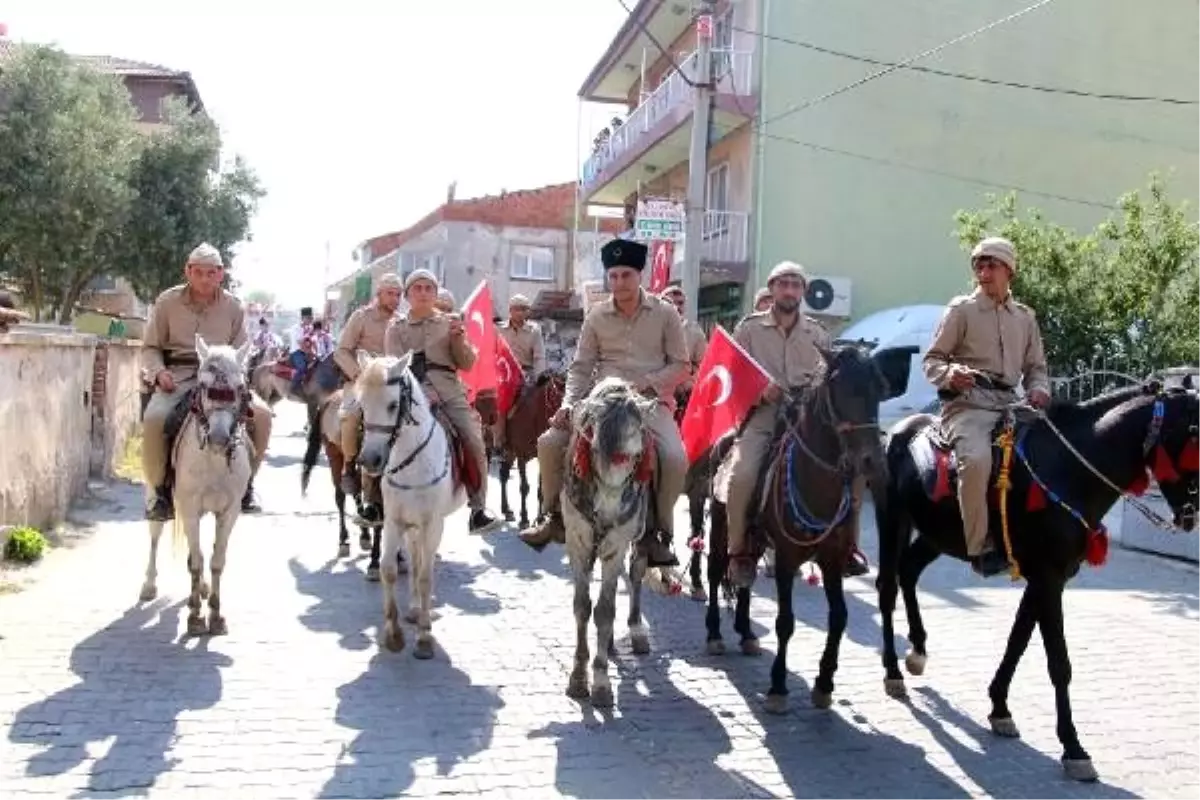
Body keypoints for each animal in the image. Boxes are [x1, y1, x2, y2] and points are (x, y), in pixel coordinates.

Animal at [139, 333, 254, 638]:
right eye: (203, 385)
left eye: (241, 387)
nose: (219, 438)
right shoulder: (190, 509)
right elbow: (197, 561)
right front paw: (195, 617)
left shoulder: (229, 512)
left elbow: (215, 561)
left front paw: (215, 614)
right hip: (155, 496)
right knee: (155, 536)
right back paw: (149, 585)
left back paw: (201, 591)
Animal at [350, 352, 463, 662]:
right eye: (361, 404)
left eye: (392, 404)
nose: (370, 459)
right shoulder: (393, 521)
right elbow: (389, 569)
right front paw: (394, 634)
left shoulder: (433, 524)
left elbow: (425, 576)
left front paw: (424, 638)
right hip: (411, 527)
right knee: (413, 558)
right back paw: (412, 609)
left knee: (421, 562)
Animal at [559, 376, 657, 705]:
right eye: (593, 444)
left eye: (636, 451)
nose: (610, 508)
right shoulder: (577, 542)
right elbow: (582, 606)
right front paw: (578, 677)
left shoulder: (616, 546)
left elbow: (604, 611)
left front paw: (600, 681)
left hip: (638, 536)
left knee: (636, 572)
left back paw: (636, 631)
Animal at [700, 347, 892, 710]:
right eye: (840, 388)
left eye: (879, 388)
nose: (873, 462)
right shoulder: (786, 559)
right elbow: (785, 622)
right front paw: (777, 686)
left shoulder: (832, 559)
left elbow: (839, 617)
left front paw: (825, 683)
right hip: (720, 526)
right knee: (716, 572)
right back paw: (715, 634)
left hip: (755, 540)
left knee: (744, 573)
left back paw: (746, 633)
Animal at [873, 381, 1200, 782]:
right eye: (1194, 434)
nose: (1191, 515)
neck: (1071, 470)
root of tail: (897, 432)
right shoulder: (1048, 577)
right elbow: (1058, 663)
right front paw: (1073, 747)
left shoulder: (1047, 578)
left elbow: (1017, 640)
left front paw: (999, 707)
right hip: (892, 519)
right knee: (887, 587)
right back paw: (892, 671)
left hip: (937, 535)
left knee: (909, 571)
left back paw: (917, 650)